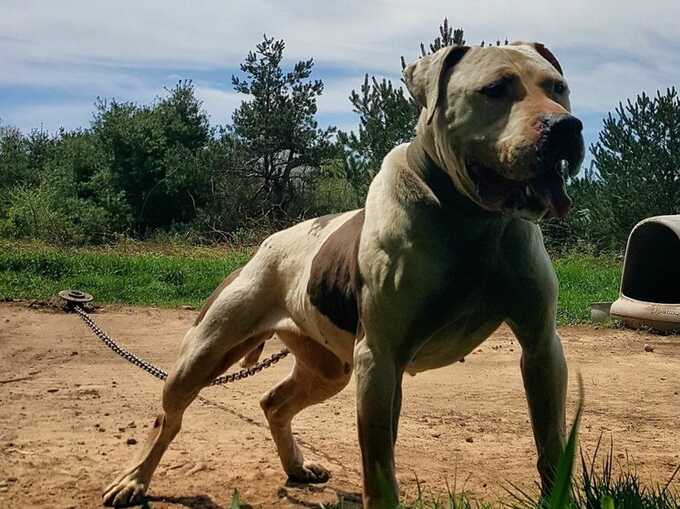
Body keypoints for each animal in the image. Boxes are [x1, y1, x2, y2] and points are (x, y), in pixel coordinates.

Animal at [102, 40, 584, 508]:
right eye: (495, 89)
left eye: (558, 87)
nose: (567, 127)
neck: (471, 219)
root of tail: (263, 248)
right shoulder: (380, 359)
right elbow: (379, 467)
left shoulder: (541, 346)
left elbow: (550, 443)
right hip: (204, 353)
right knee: (168, 417)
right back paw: (133, 481)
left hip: (329, 368)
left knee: (273, 403)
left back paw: (297, 466)